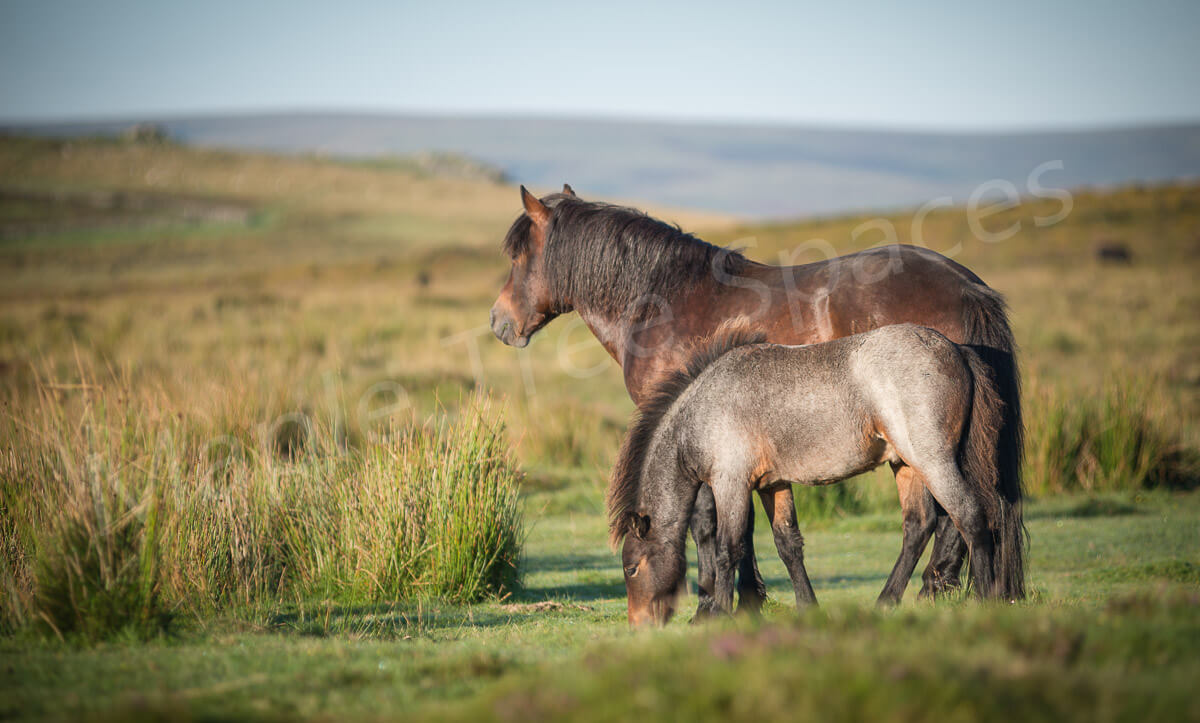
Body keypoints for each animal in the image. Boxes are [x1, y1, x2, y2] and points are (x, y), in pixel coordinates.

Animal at [487, 182, 1022, 605]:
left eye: (517, 257)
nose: (498, 322)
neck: (664, 299)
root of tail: (968, 286)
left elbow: (705, 520)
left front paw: (718, 597)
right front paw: (748, 594)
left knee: (957, 515)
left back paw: (936, 590)